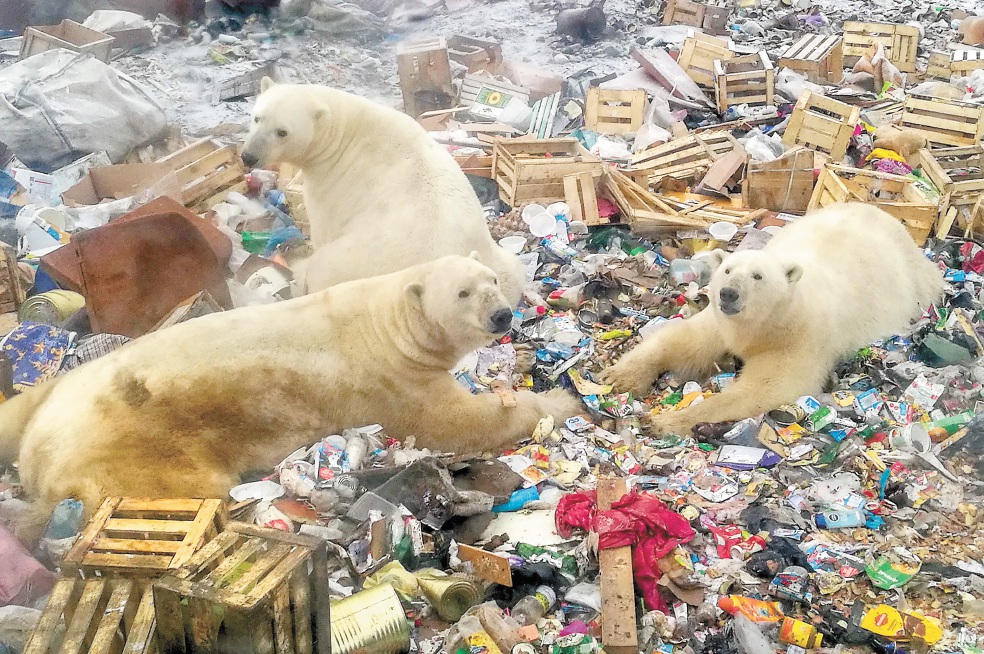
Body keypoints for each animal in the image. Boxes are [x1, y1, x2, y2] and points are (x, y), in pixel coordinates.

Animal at [0, 256, 580, 540]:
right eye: (462, 293)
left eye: (492, 280)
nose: (501, 315)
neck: (389, 325)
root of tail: (39, 460)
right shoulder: (392, 382)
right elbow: (457, 422)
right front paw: (562, 403)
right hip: (134, 454)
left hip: (55, 391)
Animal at [241, 81, 528, 304]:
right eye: (257, 117)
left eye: (282, 131)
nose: (248, 156)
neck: (344, 129)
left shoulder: (333, 183)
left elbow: (324, 226)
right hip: (495, 260)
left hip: (348, 265)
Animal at [600, 205, 944, 438]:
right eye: (728, 270)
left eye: (757, 276)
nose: (728, 294)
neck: (765, 325)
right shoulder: (721, 323)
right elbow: (683, 342)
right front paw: (619, 377)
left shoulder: (797, 339)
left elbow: (765, 388)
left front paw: (664, 421)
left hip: (915, 285)